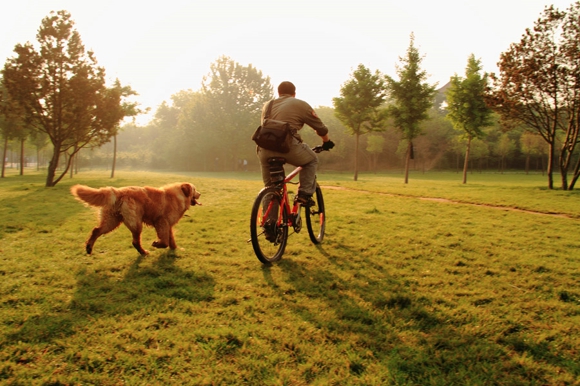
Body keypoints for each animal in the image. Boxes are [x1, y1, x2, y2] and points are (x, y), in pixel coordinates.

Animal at [70, 184, 201, 256]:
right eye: (195, 189)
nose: (200, 193)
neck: (178, 196)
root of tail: (118, 191)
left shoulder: (167, 225)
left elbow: (171, 240)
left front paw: (176, 249)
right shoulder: (161, 222)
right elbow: (165, 241)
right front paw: (156, 244)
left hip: (111, 222)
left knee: (96, 230)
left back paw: (89, 248)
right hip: (136, 224)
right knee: (135, 242)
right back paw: (144, 252)